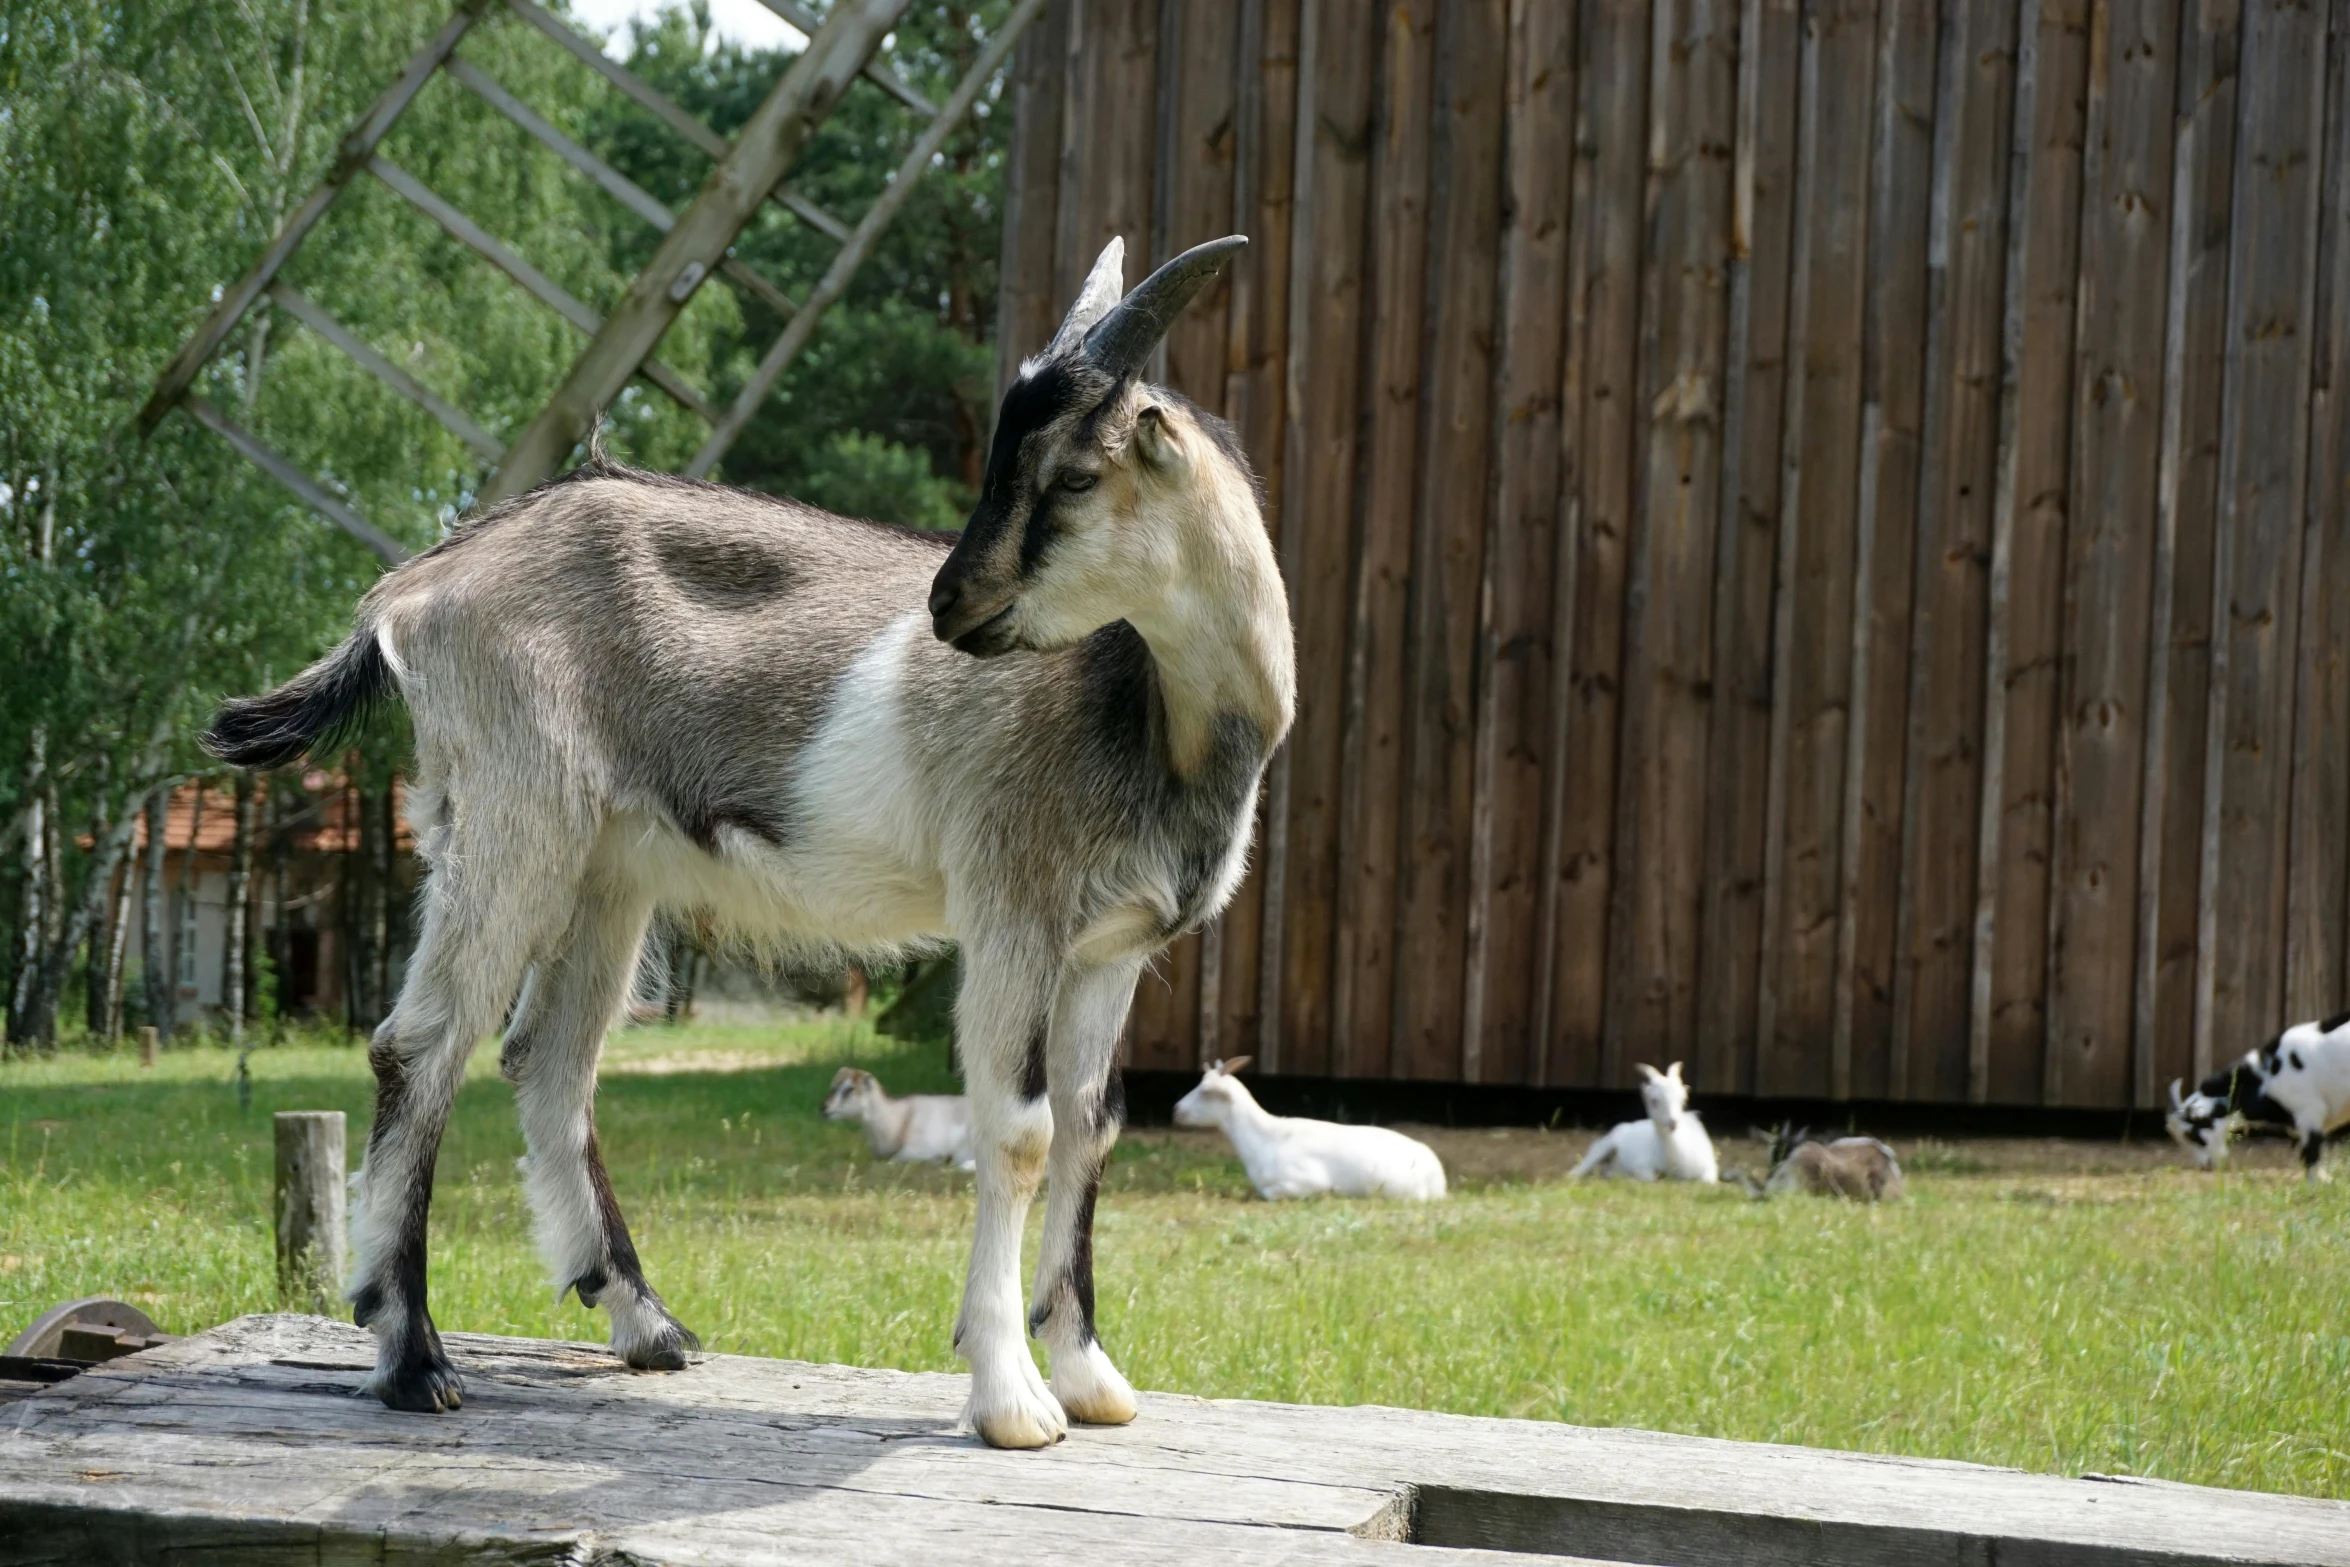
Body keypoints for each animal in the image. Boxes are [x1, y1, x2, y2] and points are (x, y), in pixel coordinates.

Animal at [1175, 1061, 1447, 1212]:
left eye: (1206, 1091)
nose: (1175, 1110)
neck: (1267, 1139)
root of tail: (1438, 1177)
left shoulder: (1307, 1180)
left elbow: (1272, 1193)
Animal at [1569, 1066, 1720, 1188]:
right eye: (1654, 1101)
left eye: (1683, 1100)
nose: (1673, 1122)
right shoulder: (1642, 1164)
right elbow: (1650, 1177)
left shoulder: (1709, 1166)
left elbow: (1707, 1180)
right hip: (1604, 1145)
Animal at [2162, 1010, 2350, 1184]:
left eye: (2194, 1136)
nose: (2205, 1167)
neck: (2266, 1076)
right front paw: (2325, 1179)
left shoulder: (2309, 1112)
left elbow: (2310, 1152)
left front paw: (2314, 1184)